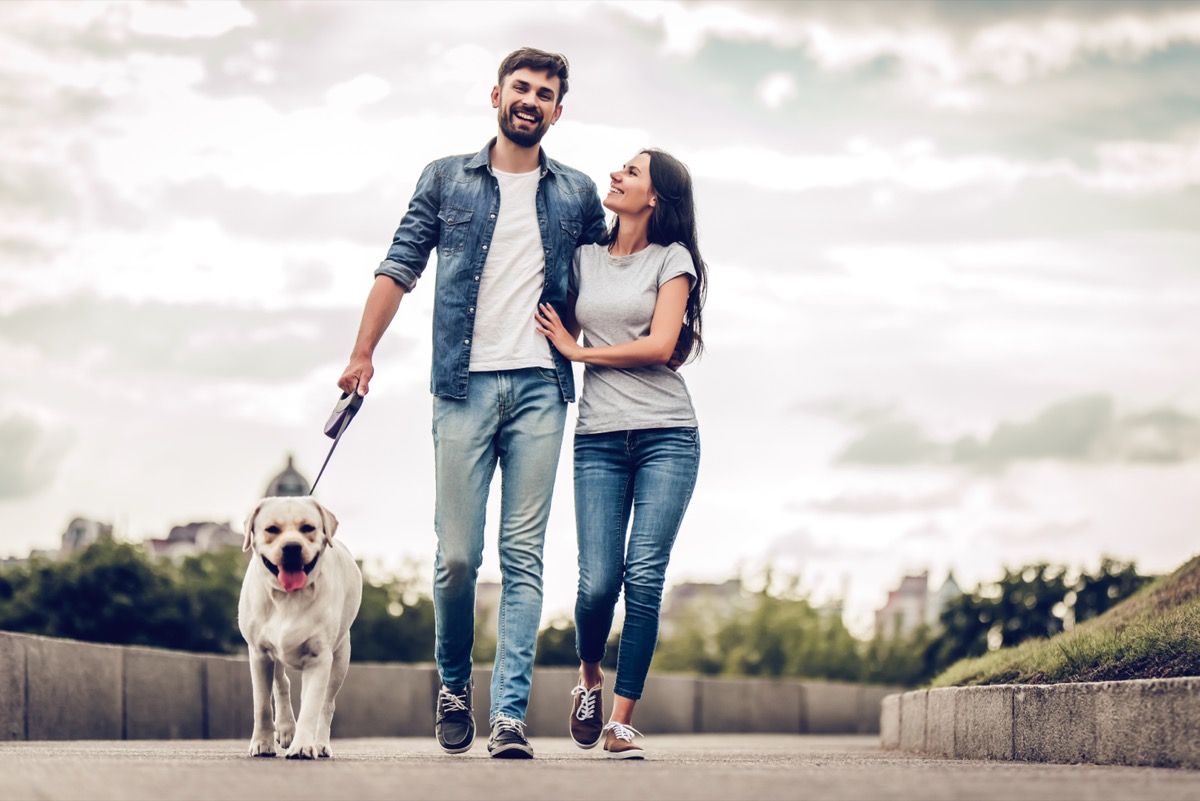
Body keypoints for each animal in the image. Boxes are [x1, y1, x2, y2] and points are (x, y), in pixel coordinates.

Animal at [237, 496, 360, 762]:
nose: (292, 547)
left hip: (340, 658)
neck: (287, 597)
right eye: (272, 529)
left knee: (326, 704)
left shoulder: (319, 658)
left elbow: (312, 707)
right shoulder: (259, 653)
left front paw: (303, 745)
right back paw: (285, 728)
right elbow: (262, 704)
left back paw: (320, 743)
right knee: (281, 682)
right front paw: (262, 743)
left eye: (308, 528)